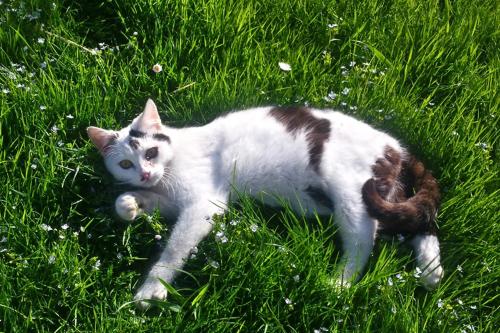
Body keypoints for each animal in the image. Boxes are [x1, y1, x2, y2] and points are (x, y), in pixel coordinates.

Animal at [88, 98, 444, 308]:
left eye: (151, 152)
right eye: (125, 164)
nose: (145, 173)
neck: (169, 168)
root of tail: (396, 147)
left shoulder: (206, 204)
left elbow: (175, 249)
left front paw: (152, 289)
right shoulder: (174, 201)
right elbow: (131, 201)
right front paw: (130, 204)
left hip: (352, 193)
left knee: (363, 240)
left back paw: (339, 284)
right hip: (384, 196)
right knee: (420, 224)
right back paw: (431, 273)